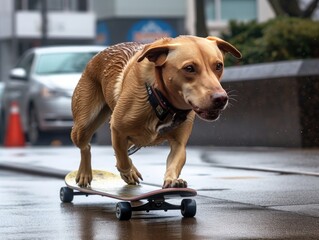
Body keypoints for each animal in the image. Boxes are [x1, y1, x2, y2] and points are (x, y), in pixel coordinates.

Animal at [72, 36, 242, 189]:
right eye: (189, 68)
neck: (161, 101)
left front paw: (173, 180)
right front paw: (128, 172)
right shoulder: (117, 129)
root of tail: (96, 56)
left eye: (219, 66)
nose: (221, 98)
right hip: (83, 126)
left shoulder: (179, 144)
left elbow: (174, 162)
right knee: (86, 146)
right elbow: (122, 158)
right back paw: (85, 173)